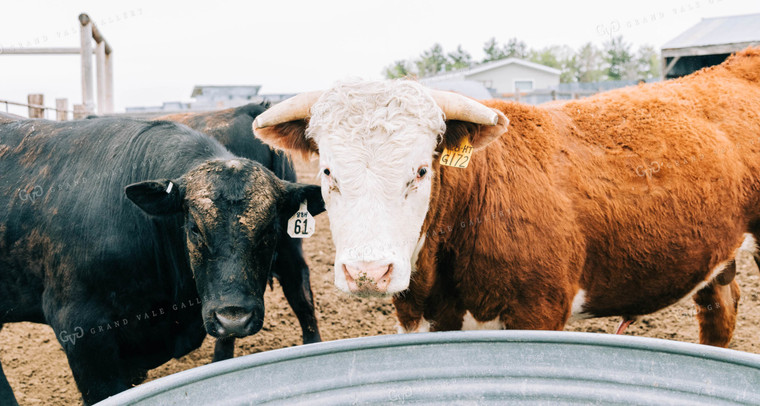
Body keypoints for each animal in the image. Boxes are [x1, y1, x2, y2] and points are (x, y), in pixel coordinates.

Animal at [252, 46, 760, 346]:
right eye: (328, 171)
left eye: (421, 170)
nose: (369, 272)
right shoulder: (421, 318)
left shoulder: (539, 313)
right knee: (720, 308)